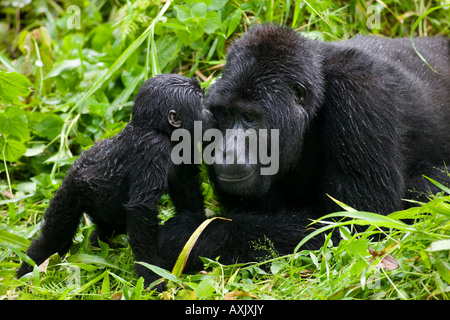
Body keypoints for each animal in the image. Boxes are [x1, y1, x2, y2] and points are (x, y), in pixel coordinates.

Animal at [17, 74, 207, 284]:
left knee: (106, 230)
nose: (210, 111)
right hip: (70, 191)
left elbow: (186, 188)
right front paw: (151, 273)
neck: (158, 129)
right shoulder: (153, 149)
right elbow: (142, 210)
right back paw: (27, 275)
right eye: (201, 104)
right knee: (55, 239)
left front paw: (198, 226)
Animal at [156, 23, 448, 272]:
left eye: (249, 117)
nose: (226, 151)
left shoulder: (362, 92)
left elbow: (356, 225)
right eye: (224, 115)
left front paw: (188, 235)